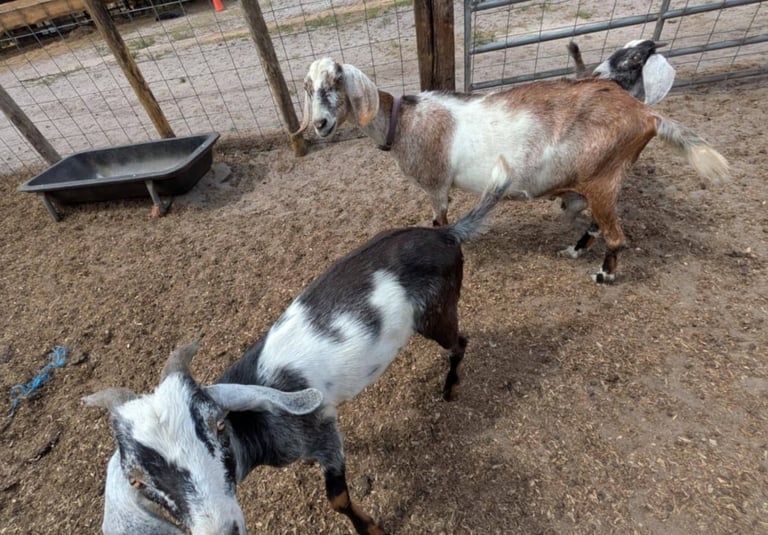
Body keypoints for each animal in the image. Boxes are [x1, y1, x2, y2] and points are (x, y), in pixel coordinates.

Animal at [84, 158, 513, 535]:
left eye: (219, 426)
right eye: (137, 481)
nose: (224, 528)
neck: (259, 414)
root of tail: (447, 233)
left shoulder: (319, 433)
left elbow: (337, 497)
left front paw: (372, 528)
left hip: (437, 313)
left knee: (459, 341)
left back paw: (451, 388)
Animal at [295, 57, 728, 283]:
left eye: (336, 81)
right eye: (308, 87)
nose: (319, 124)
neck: (404, 122)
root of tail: (646, 114)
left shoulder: (437, 185)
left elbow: (439, 221)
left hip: (603, 180)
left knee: (616, 236)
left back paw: (604, 275)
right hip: (597, 184)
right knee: (596, 225)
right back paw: (574, 249)